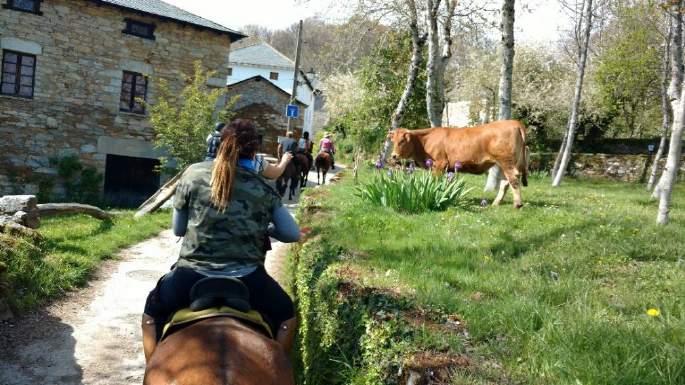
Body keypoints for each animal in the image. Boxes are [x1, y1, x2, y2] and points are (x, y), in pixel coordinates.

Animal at [390, 119, 528, 207]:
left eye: (402, 141)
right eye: (393, 141)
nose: (393, 155)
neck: (424, 141)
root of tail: (514, 122)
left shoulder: (439, 164)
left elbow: (435, 182)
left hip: (506, 161)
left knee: (514, 179)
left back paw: (517, 204)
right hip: (505, 163)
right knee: (506, 182)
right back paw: (496, 203)